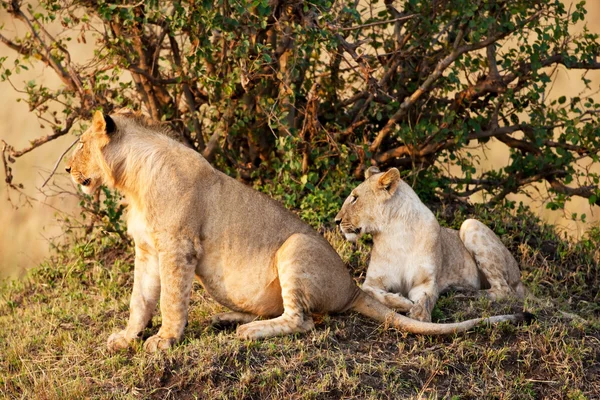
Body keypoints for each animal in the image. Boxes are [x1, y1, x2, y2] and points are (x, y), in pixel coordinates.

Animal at [336, 166, 528, 322]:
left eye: (355, 198)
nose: (336, 221)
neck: (396, 233)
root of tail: (520, 278)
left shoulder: (426, 281)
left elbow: (426, 298)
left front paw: (420, 314)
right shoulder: (372, 281)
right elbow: (374, 293)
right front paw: (404, 302)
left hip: (471, 224)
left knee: (504, 290)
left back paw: (464, 294)